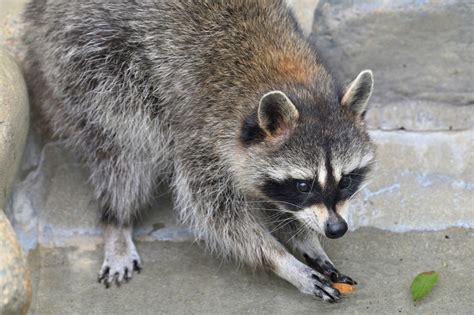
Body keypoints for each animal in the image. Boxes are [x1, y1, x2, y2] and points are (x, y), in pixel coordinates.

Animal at [25, 0, 374, 302]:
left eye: (346, 180)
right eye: (303, 185)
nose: (336, 229)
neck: (289, 79)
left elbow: (277, 204)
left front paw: (305, 239)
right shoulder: (202, 141)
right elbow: (218, 215)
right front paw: (283, 261)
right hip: (90, 57)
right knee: (128, 142)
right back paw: (118, 219)